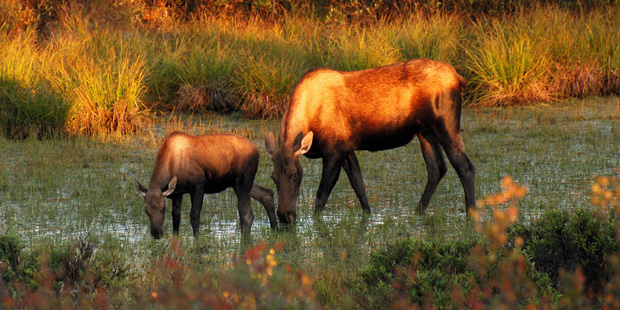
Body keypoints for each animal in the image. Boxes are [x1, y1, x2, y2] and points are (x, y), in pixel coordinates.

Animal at [135, 131, 276, 237]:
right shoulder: (177, 193)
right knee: (267, 193)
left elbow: (194, 215)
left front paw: (196, 240)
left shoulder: (198, 186)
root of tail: (257, 151)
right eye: (146, 210)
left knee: (246, 214)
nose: (156, 233)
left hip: (242, 182)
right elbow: (176, 217)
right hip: (240, 183)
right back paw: (275, 229)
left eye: (163, 208)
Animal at [266, 58, 474, 224]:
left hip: (445, 125)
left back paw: (470, 213)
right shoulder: (346, 149)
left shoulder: (333, 151)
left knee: (465, 165)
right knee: (437, 168)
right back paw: (418, 210)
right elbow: (359, 186)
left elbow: (321, 196)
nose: (285, 216)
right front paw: (368, 215)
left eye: (295, 174)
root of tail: (459, 78)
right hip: (425, 132)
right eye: (273, 177)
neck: (309, 115)